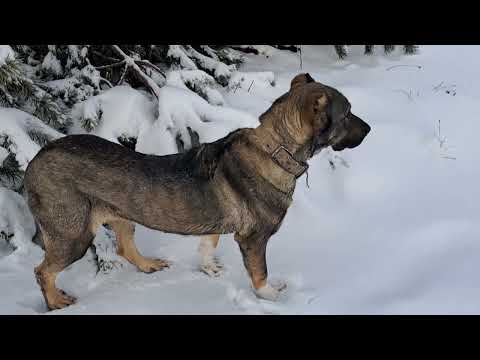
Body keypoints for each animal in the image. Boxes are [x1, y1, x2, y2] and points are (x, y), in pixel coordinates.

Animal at [23, 73, 372, 310]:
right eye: (347, 113)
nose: (370, 130)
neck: (275, 149)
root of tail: (36, 158)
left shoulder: (215, 223)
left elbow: (206, 246)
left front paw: (209, 269)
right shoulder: (254, 239)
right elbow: (260, 273)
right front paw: (270, 297)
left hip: (121, 216)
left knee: (124, 248)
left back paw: (148, 265)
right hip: (73, 235)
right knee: (42, 271)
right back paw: (55, 302)